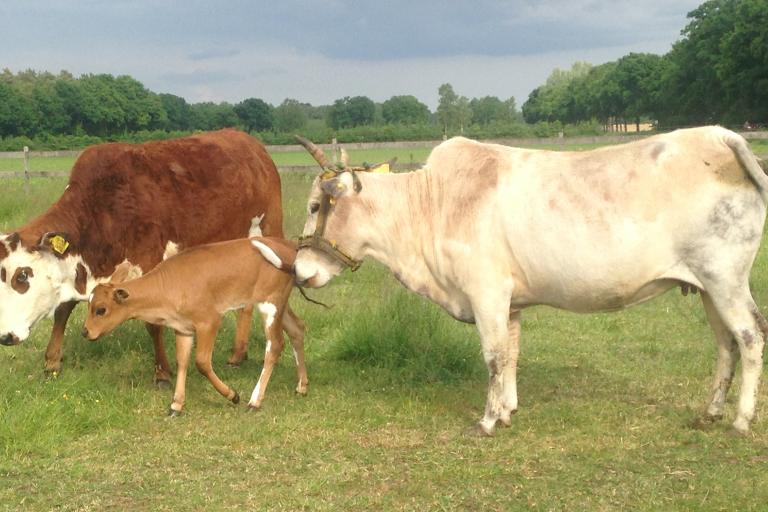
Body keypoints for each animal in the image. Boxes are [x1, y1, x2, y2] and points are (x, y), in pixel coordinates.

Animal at [0, 128, 282, 384]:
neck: (102, 210)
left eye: (22, 276)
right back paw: (238, 354)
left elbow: (153, 322)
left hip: (269, 230)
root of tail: (250, 142)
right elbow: (62, 311)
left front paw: (163, 372)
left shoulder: (149, 265)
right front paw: (52, 362)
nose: (5, 336)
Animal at [80, 238, 304, 414]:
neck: (170, 287)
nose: (85, 331)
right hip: (281, 304)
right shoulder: (183, 329)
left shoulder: (209, 321)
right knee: (297, 329)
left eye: (101, 309)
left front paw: (232, 395)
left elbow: (202, 363)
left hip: (270, 303)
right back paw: (302, 386)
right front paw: (176, 405)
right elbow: (182, 362)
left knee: (275, 345)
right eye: (88, 304)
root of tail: (288, 246)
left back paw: (254, 401)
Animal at [294, 129, 768, 436]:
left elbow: (493, 356)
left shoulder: (486, 292)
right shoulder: (511, 302)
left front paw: (487, 421)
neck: (433, 203)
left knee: (749, 337)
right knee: (725, 345)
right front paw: (508, 411)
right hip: (707, 287)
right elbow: (512, 355)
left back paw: (740, 421)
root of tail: (720, 135)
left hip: (725, 279)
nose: (298, 270)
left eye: (316, 205)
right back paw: (710, 412)